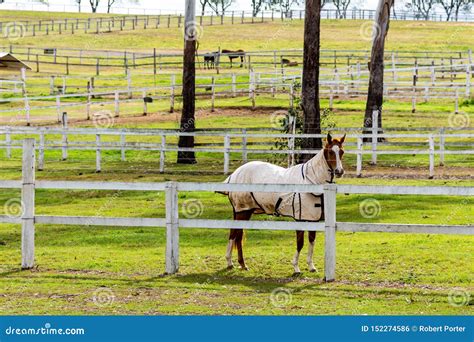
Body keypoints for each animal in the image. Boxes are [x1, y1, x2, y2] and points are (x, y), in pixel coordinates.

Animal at [220, 134, 346, 276]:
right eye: (330, 152)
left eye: (342, 151)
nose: (339, 171)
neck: (310, 181)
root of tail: (235, 174)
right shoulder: (300, 219)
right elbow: (300, 242)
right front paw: (296, 267)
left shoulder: (312, 219)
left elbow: (311, 241)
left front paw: (311, 266)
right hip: (242, 211)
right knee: (235, 234)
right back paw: (234, 263)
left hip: (245, 212)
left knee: (236, 235)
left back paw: (238, 264)